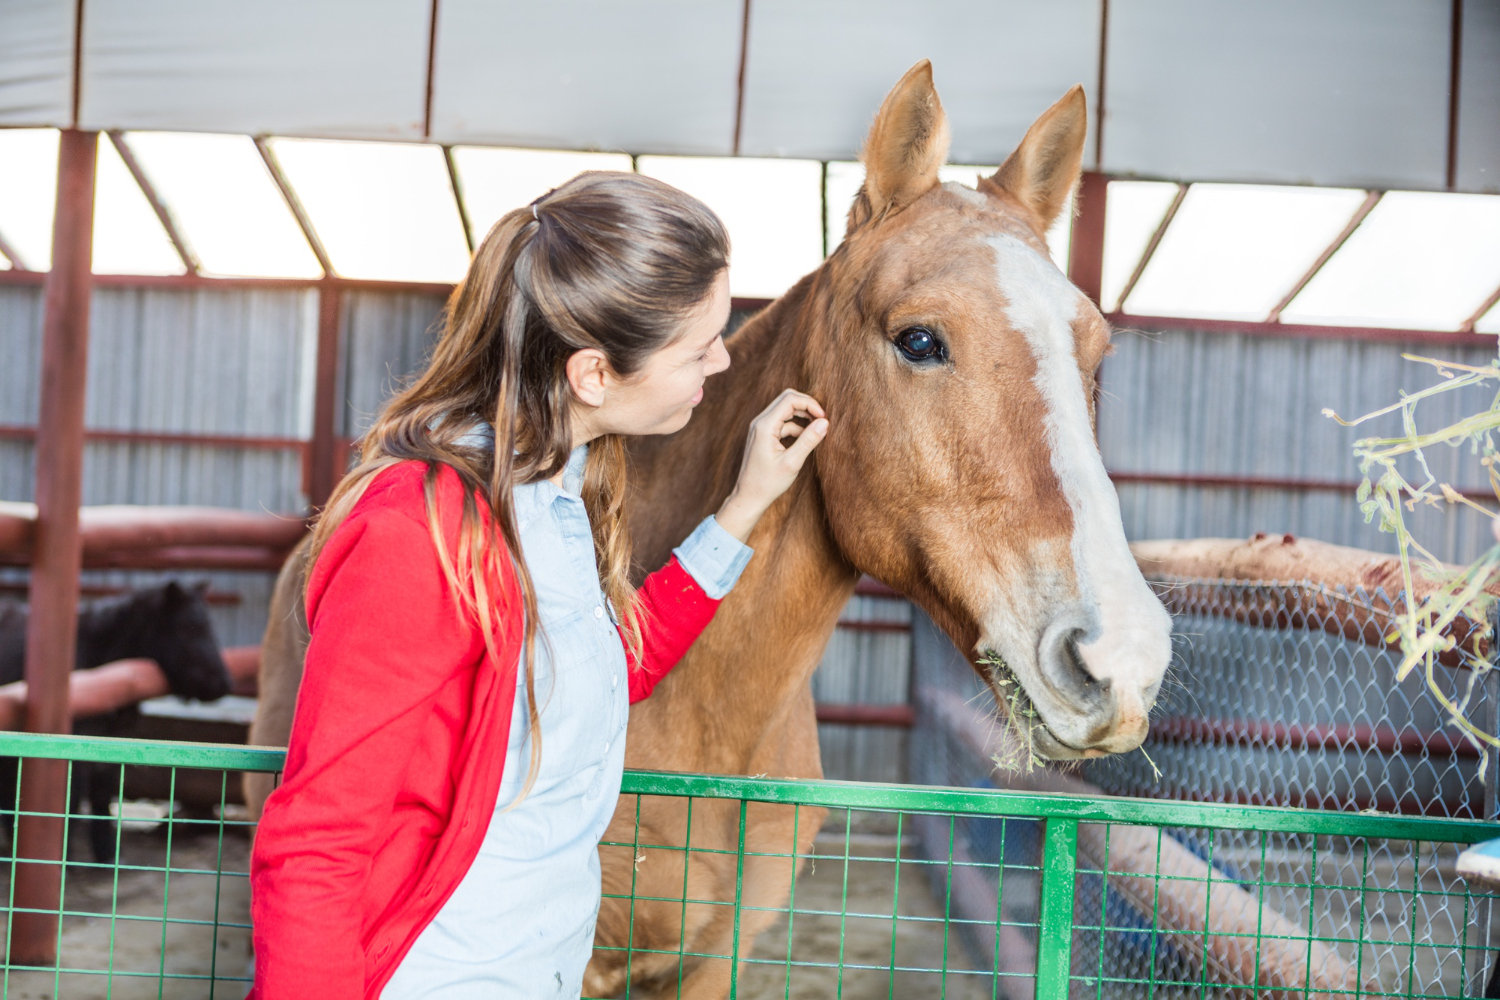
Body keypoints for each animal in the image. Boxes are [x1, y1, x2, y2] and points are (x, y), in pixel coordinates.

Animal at [0, 581, 229, 863]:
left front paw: (107, 854)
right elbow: (73, 796)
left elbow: (103, 792)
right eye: (187, 627)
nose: (224, 683)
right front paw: (67, 858)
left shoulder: (111, 738)